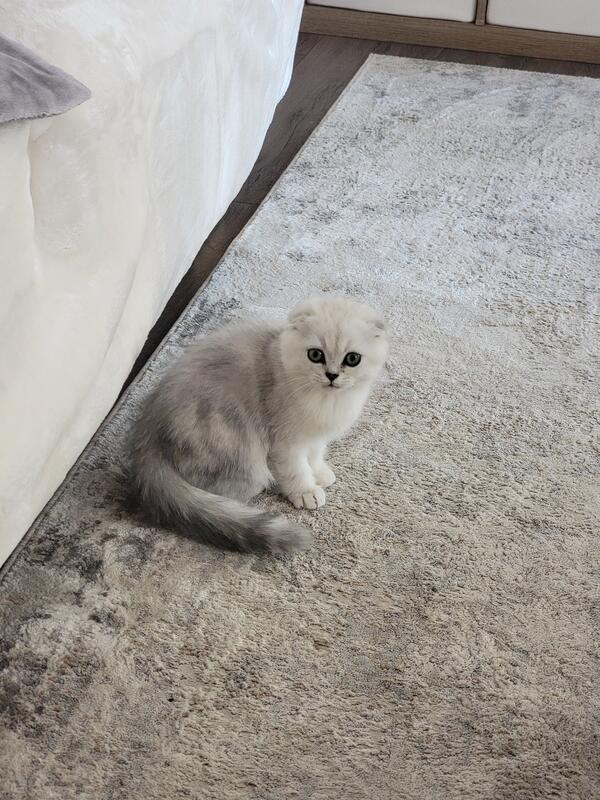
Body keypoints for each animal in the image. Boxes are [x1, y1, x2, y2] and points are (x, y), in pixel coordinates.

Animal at [129, 295, 388, 553]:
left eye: (352, 359)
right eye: (315, 355)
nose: (332, 375)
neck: (326, 402)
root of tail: (148, 433)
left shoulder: (314, 437)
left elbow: (314, 457)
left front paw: (320, 473)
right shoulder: (286, 443)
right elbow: (296, 470)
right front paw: (306, 491)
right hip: (241, 455)